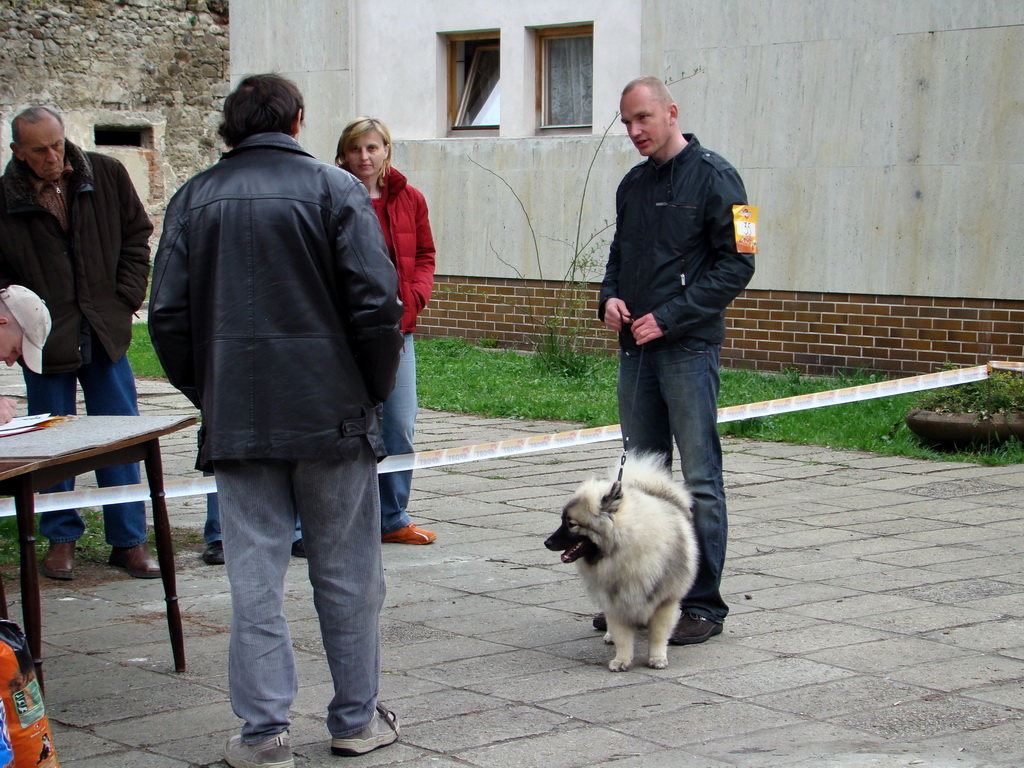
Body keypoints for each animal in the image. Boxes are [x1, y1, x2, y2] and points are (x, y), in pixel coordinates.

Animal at [544, 454, 696, 671]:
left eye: (571, 524)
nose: (547, 543)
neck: (622, 550)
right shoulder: (615, 600)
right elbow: (623, 636)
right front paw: (622, 660)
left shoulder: (664, 601)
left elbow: (658, 635)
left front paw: (657, 657)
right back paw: (609, 636)